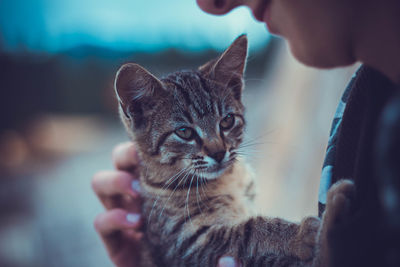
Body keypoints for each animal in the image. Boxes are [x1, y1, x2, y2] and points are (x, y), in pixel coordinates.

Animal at [114, 36, 320, 267]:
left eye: (227, 121)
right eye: (184, 132)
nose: (219, 153)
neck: (227, 180)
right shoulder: (186, 245)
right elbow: (247, 231)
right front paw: (299, 235)